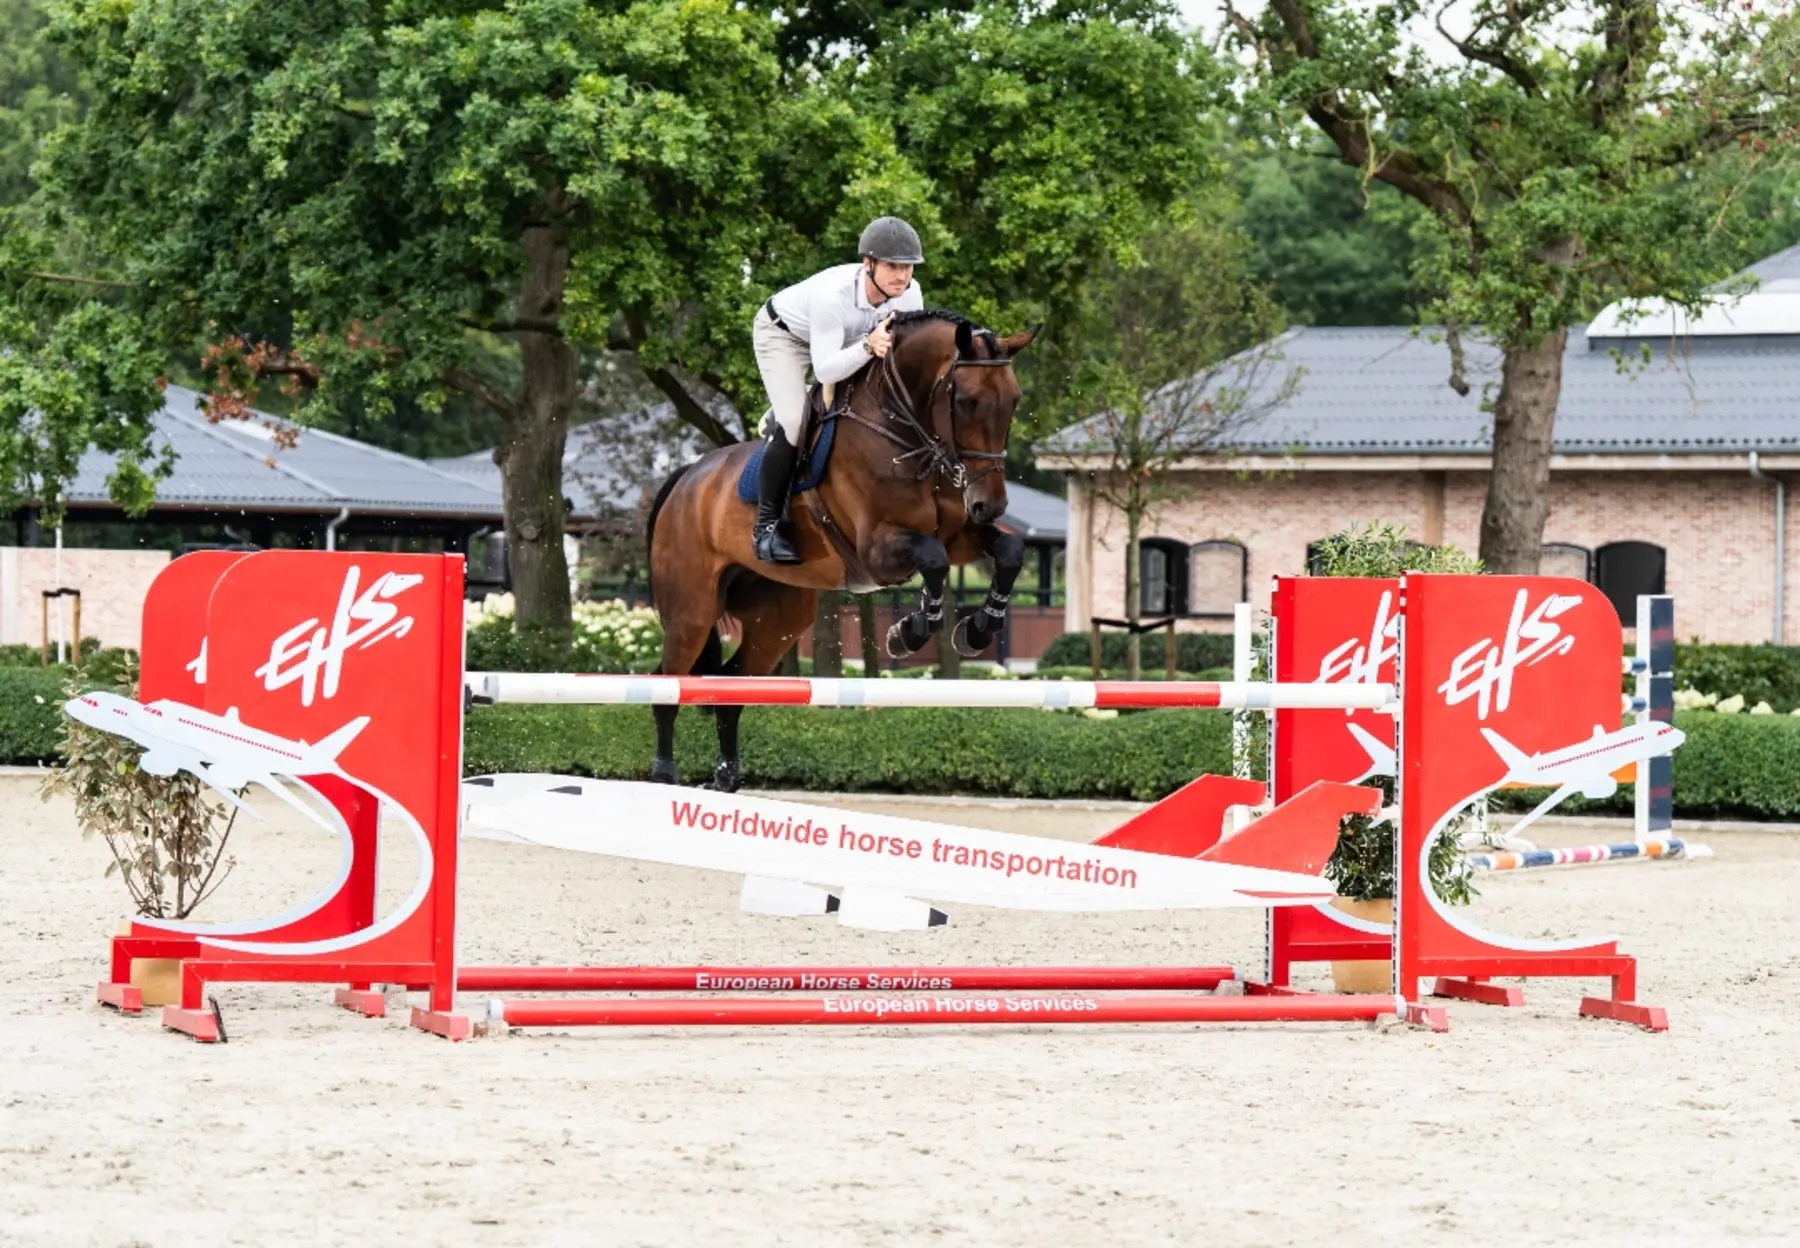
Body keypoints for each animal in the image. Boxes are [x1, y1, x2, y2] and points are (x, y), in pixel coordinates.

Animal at [644, 309, 1040, 790]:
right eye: (966, 401)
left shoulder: (960, 534)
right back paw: (664, 773)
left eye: (1014, 401)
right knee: (667, 680)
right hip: (692, 613)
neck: (905, 431)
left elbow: (1009, 552)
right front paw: (907, 633)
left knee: (732, 683)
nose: (990, 505)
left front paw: (978, 629)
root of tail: (687, 476)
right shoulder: (878, 549)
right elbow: (933, 559)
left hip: (778, 620)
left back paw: (726, 777)